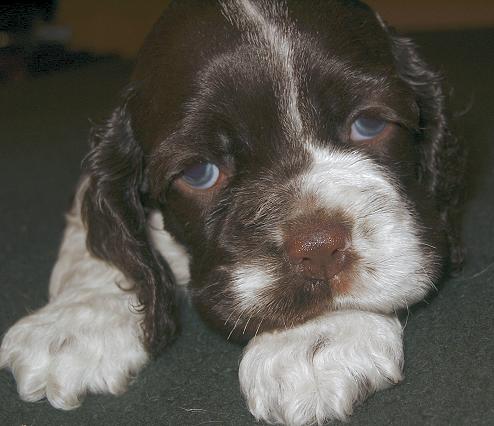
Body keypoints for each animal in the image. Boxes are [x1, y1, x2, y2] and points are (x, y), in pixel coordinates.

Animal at [0, 1, 464, 424]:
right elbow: (96, 236)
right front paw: (71, 324)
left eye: (369, 124)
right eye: (200, 173)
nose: (318, 250)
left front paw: (312, 338)